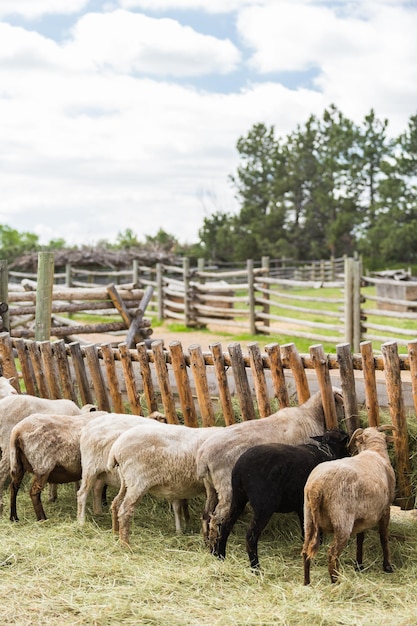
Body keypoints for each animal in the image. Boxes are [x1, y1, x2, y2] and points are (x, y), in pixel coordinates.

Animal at [195, 388, 344, 548]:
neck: (311, 414)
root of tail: (203, 456)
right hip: (226, 489)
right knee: (216, 519)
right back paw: (214, 547)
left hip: (211, 486)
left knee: (206, 514)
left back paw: (206, 544)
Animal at [214, 428, 348, 564]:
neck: (327, 450)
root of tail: (240, 469)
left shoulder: (300, 505)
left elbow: (304, 528)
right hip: (264, 505)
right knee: (251, 536)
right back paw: (255, 566)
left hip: (238, 498)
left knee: (225, 525)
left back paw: (221, 556)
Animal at [300, 422, 394, 584]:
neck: (375, 451)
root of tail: (316, 487)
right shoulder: (386, 509)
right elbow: (383, 537)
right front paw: (387, 566)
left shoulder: (363, 517)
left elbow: (360, 539)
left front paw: (359, 564)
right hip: (342, 521)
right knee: (332, 554)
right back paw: (336, 582)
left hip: (308, 518)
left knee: (306, 551)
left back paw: (307, 583)